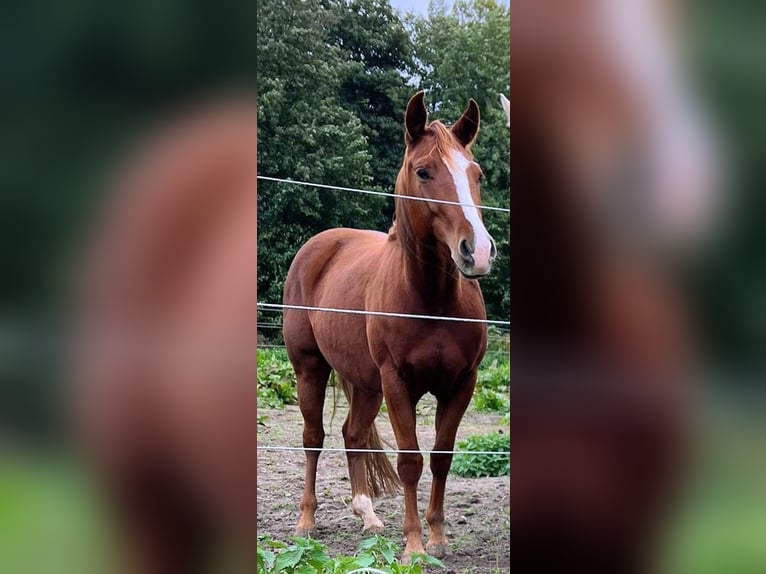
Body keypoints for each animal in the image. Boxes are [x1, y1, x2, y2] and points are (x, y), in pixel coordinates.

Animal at [282, 90, 497, 560]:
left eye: (477, 174)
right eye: (424, 171)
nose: (477, 252)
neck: (432, 302)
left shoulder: (462, 383)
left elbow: (441, 457)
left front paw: (438, 537)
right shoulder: (397, 382)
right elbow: (410, 460)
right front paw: (414, 545)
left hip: (365, 384)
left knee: (353, 434)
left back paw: (369, 516)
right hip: (311, 369)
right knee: (313, 436)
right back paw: (305, 522)